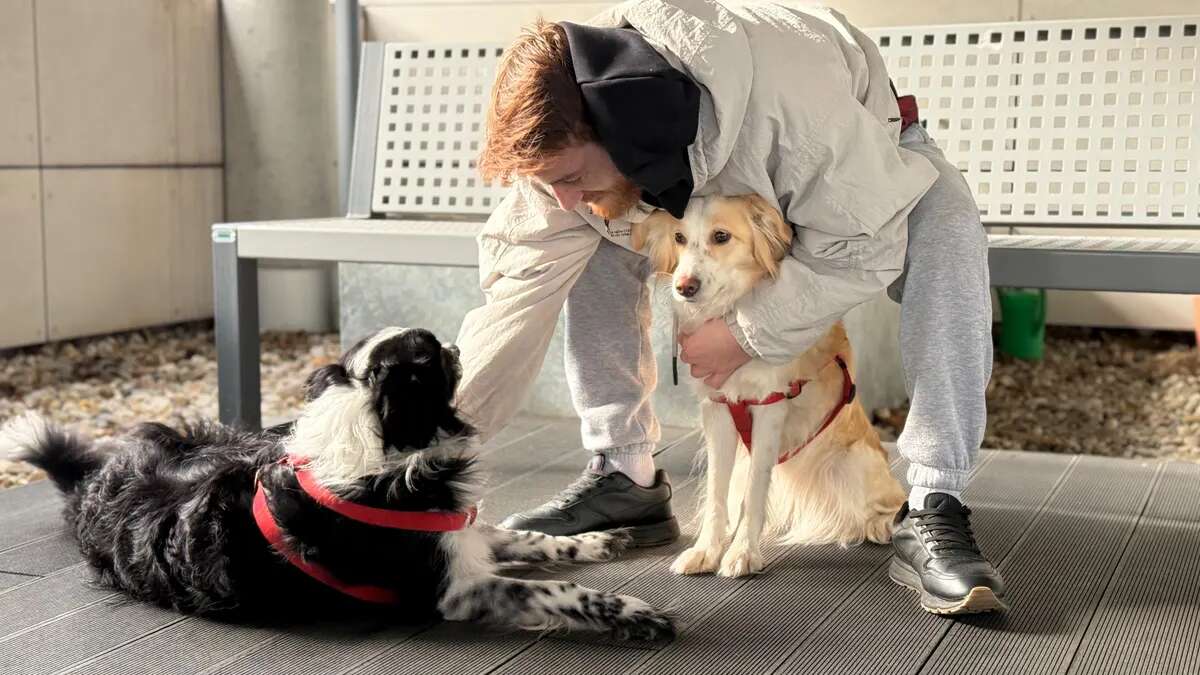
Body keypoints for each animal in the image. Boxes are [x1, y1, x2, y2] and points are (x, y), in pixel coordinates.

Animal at [0, 329, 676, 638]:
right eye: (430, 356)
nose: (455, 344)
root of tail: (94, 482)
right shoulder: (455, 587)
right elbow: (555, 590)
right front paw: (629, 612)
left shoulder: (456, 533)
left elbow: (524, 537)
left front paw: (595, 542)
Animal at [633, 193, 902, 571]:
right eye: (679, 237)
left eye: (721, 236)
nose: (684, 287)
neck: (726, 317)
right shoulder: (718, 410)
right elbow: (716, 493)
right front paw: (707, 550)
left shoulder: (768, 407)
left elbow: (755, 493)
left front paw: (743, 552)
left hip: (854, 461)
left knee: (895, 500)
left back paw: (881, 525)